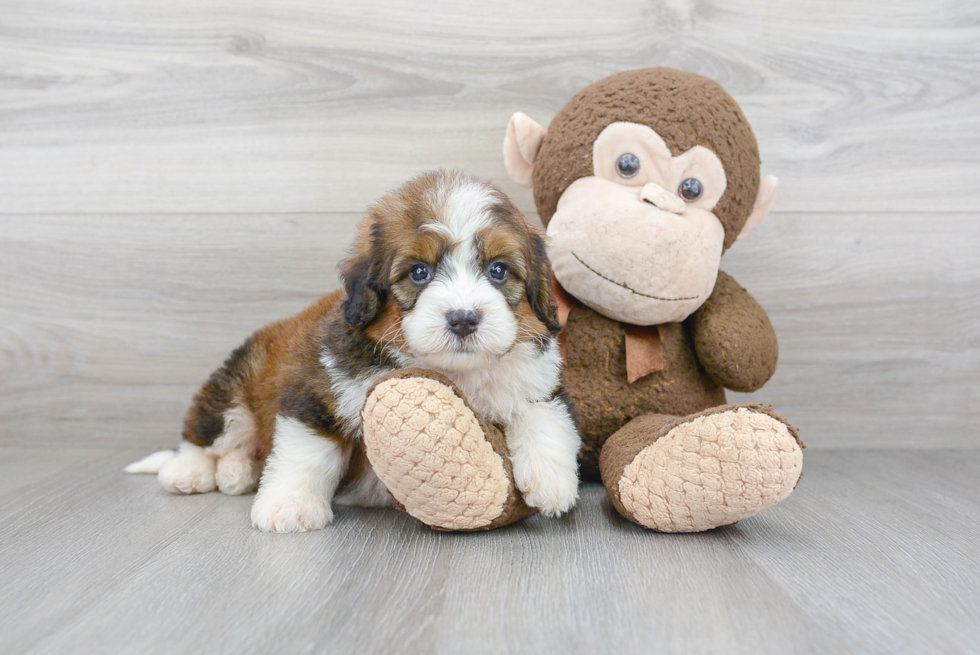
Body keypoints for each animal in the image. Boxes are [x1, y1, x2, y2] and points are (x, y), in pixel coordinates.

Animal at [125, 169, 580, 532]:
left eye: (498, 270)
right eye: (419, 272)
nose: (464, 318)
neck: (451, 371)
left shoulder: (537, 379)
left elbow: (543, 414)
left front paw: (552, 479)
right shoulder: (315, 391)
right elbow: (307, 453)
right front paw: (289, 506)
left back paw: (238, 472)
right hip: (234, 385)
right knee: (205, 433)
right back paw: (189, 471)